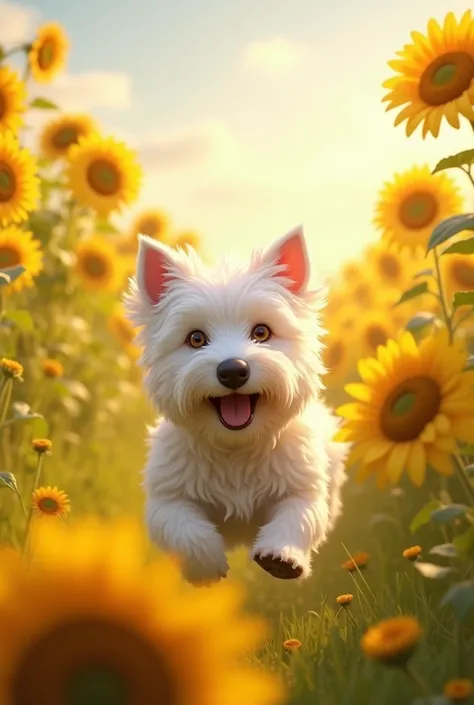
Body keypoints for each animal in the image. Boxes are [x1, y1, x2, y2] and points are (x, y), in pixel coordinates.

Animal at [124, 226, 350, 584]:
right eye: (196, 338)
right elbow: (184, 528)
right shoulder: (168, 494)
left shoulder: (302, 485)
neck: (237, 449)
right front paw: (205, 565)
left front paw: (281, 558)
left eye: (262, 331)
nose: (233, 370)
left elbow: (298, 517)